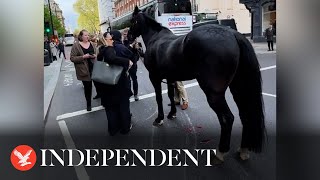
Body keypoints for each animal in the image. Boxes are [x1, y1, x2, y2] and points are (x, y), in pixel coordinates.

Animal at [129, 6, 264, 162]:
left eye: (132, 21)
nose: (128, 37)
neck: (155, 39)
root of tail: (233, 34)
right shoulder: (170, 77)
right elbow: (170, 95)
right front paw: (172, 113)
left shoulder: (154, 77)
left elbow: (159, 98)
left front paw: (159, 118)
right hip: (238, 88)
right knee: (245, 115)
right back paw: (243, 150)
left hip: (214, 94)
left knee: (227, 118)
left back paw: (220, 152)